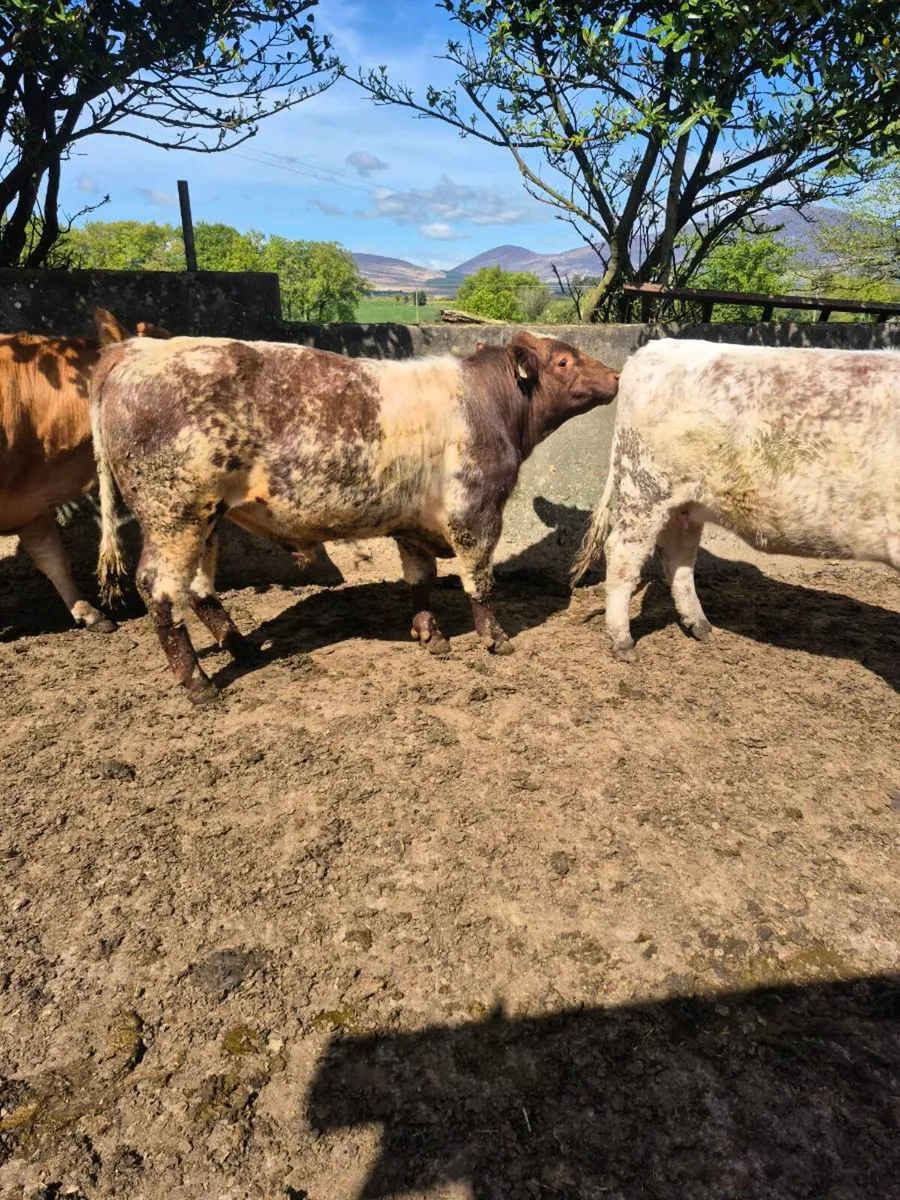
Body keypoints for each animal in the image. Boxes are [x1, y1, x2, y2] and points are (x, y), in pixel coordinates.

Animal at [90, 331, 619, 703]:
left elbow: (420, 579)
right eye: (564, 360)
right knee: (160, 590)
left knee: (199, 588)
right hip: (174, 514)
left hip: (206, 519)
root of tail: (134, 349)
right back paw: (199, 684)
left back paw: (240, 646)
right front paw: (496, 640)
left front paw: (430, 636)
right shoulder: (476, 513)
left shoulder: (414, 522)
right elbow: (481, 583)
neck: (488, 403)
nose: (615, 376)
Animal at [571, 338, 900, 660]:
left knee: (679, 558)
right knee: (624, 553)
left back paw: (700, 626)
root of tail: (651, 349)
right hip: (645, 487)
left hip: (684, 504)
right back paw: (622, 641)